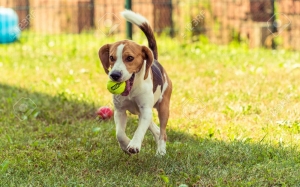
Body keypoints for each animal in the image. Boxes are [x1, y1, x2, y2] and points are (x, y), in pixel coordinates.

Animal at [99, 9, 171, 156]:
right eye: (111, 57)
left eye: (130, 58)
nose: (114, 75)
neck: (132, 90)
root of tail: (155, 60)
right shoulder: (120, 111)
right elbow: (119, 134)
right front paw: (126, 144)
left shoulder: (145, 110)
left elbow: (139, 131)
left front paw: (134, 145)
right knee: (155, 129)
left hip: (163, 108)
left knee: (162, 133)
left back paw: (161, 151)